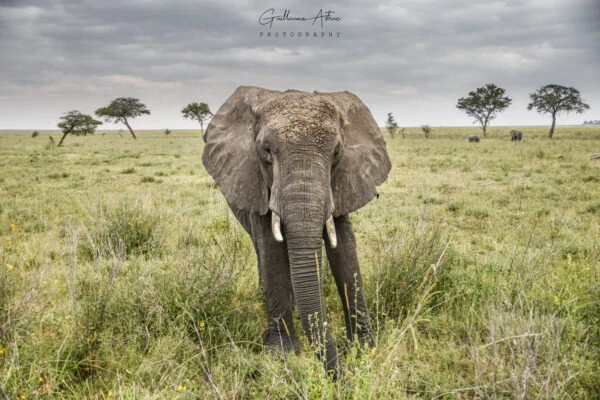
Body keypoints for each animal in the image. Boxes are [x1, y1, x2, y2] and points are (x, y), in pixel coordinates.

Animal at [202, 85, 392, 376]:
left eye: (336, 152)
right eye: (266, 151)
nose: (341, 376)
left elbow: (345, 249)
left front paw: (363, 349)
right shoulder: (256, 181)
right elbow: (271, 251)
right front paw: (281, 355)